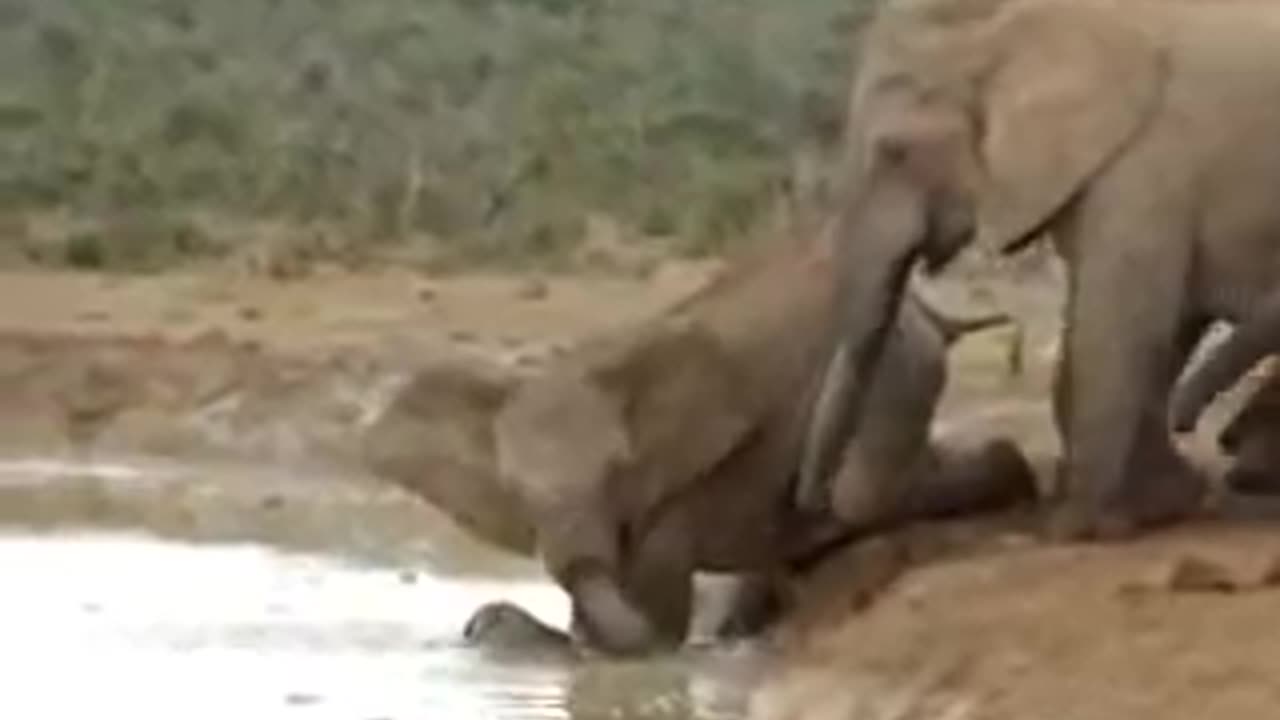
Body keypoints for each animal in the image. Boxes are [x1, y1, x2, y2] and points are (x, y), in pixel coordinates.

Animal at [363, 230, 1039, 655]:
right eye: (515, 491)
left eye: (617, 471)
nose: (476, 623)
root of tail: (932, 312)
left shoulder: (674, 488)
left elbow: (656, 623)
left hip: (896, 368)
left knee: (864, 492)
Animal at [798, 0, 1280, 540]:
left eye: (893, 153)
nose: (810, 502)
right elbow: (1155, 324)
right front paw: (1164, 505)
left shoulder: (1148, 162)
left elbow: (1117, 326)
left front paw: (1078, 528)